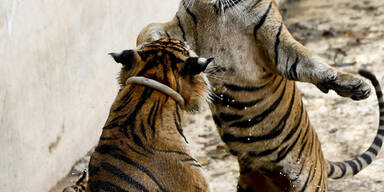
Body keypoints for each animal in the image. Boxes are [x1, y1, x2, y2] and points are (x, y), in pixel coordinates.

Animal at [137, 0, 384, 191]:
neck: (217, 9)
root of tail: (322, 156)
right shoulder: (182, 25)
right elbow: (149, 29)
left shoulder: (276, 42)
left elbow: (309, 61)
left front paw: (354, 85)